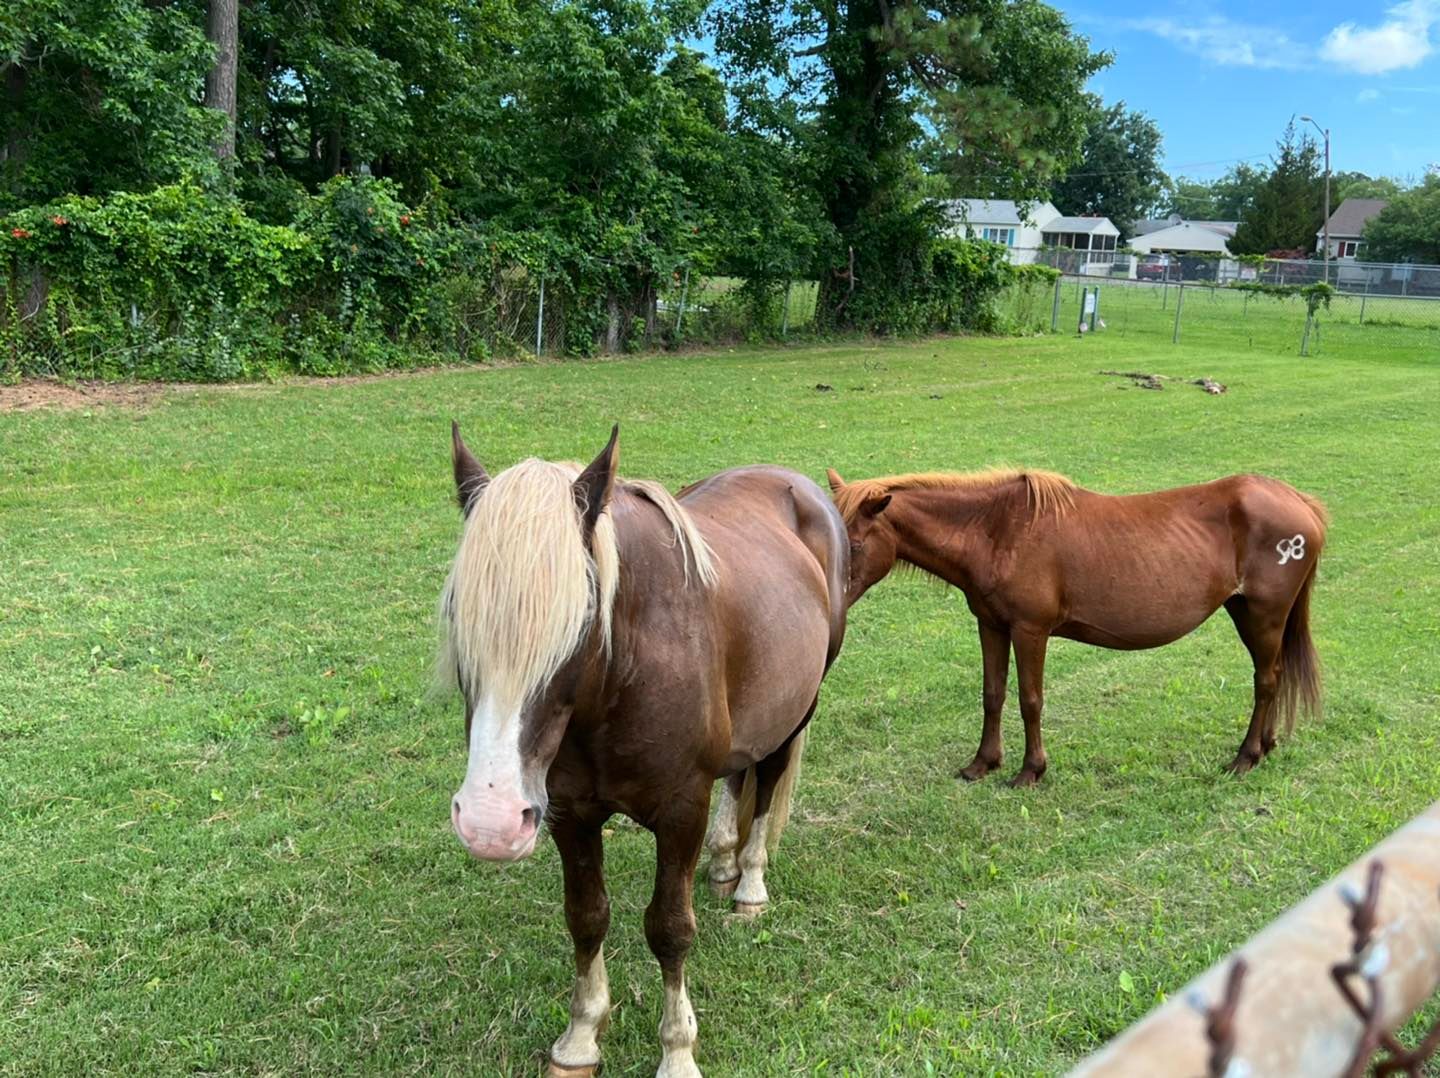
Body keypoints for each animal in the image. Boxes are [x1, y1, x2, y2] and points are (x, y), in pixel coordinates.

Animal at [439, 424, 848, 1078]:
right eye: (458, 612)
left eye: (581, 615)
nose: (490, 822)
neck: (623, 674)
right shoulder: (569, 813)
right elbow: (586, 917)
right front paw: (580, 1037)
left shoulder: (681, 811)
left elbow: (669, 929)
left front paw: (677, 1051)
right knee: (739, 777)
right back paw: (724, 863)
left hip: (797, 713)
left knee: (767, 784)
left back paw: (750, 884)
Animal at [826, 467, 1326, 784]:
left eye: (854, 544)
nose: (829, 604)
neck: (999, 530)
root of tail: (1300, 503)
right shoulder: (991, 625)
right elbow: (993, 694)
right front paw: (982, 764)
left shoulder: (1030, 630)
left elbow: (1029, 700)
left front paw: (1030, 770)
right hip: (1246, 612)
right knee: (1273, 676)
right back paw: (1265, 746)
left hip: (1265, 615)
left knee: (1266, 681)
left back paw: (1245, 757)